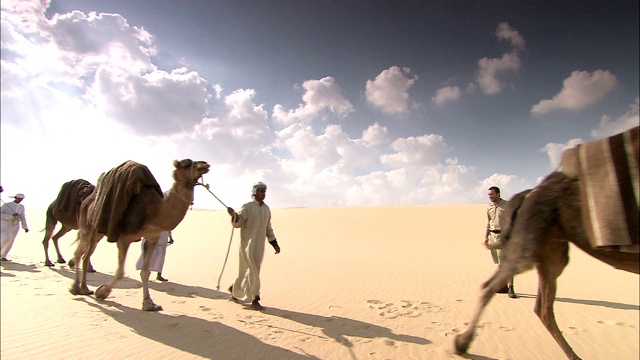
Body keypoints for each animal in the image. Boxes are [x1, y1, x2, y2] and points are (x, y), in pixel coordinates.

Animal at [69, 159, 210, 310]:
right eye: (186, 164)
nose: (204, 164)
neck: (156, 210)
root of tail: (87, 200)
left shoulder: (152, 238)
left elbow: (145, 271)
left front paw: (149, 304)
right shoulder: (124, 239)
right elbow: (120, 272)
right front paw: (102, 292)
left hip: (97, 232)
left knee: (86, 255)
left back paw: (84, 288)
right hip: (86, 225)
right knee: (79, 252)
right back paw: (75, 288)